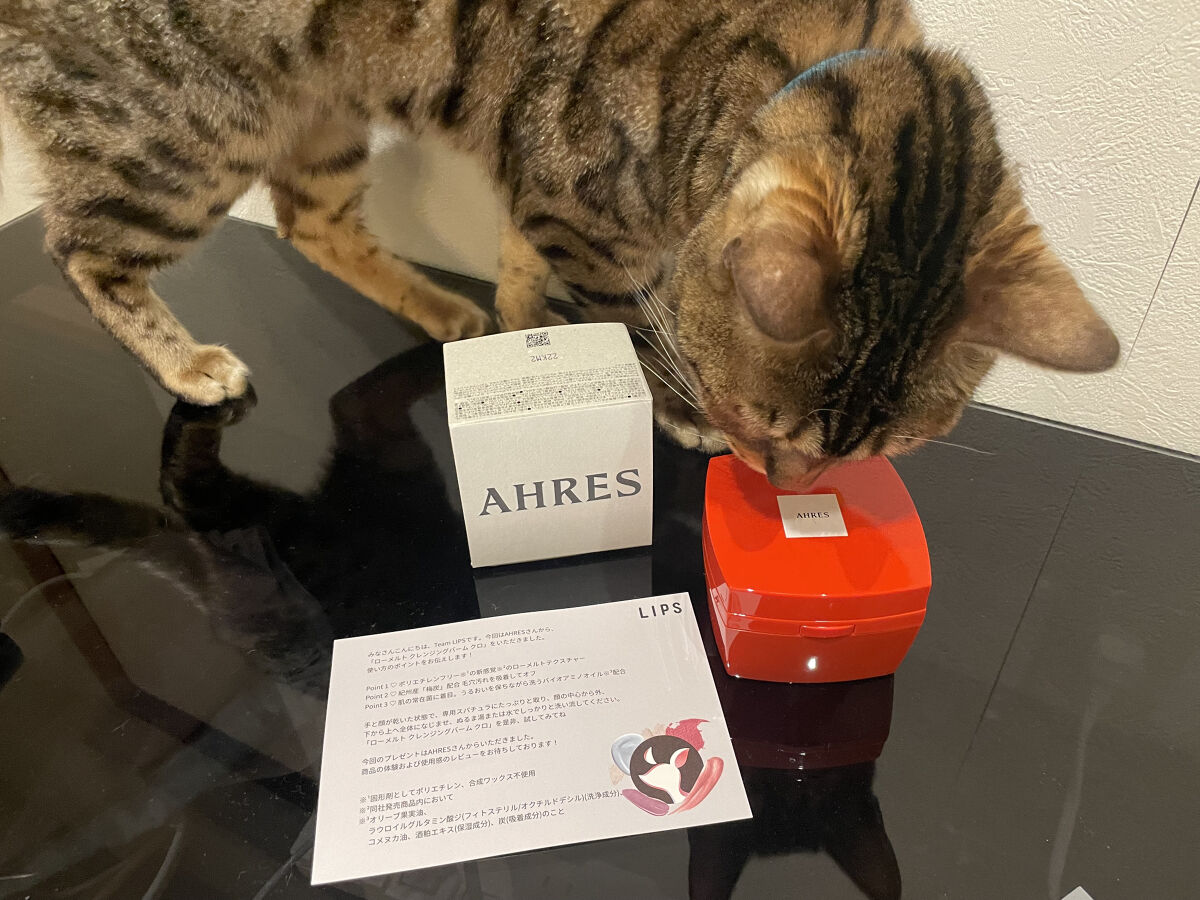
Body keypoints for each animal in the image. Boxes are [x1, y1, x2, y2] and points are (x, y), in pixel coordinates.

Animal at [0, 1, 1118, 489]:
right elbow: (629, 327)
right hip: (181, 133)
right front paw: (674, 409)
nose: (782, 486)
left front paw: (517, 326)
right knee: (80, 250)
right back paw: (188, 363)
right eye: (764, 427)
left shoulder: (539, 185)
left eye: (882, 455)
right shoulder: (582, 212)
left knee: (308, 220)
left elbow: (526, 271)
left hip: (317, 110)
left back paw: (444, 311)